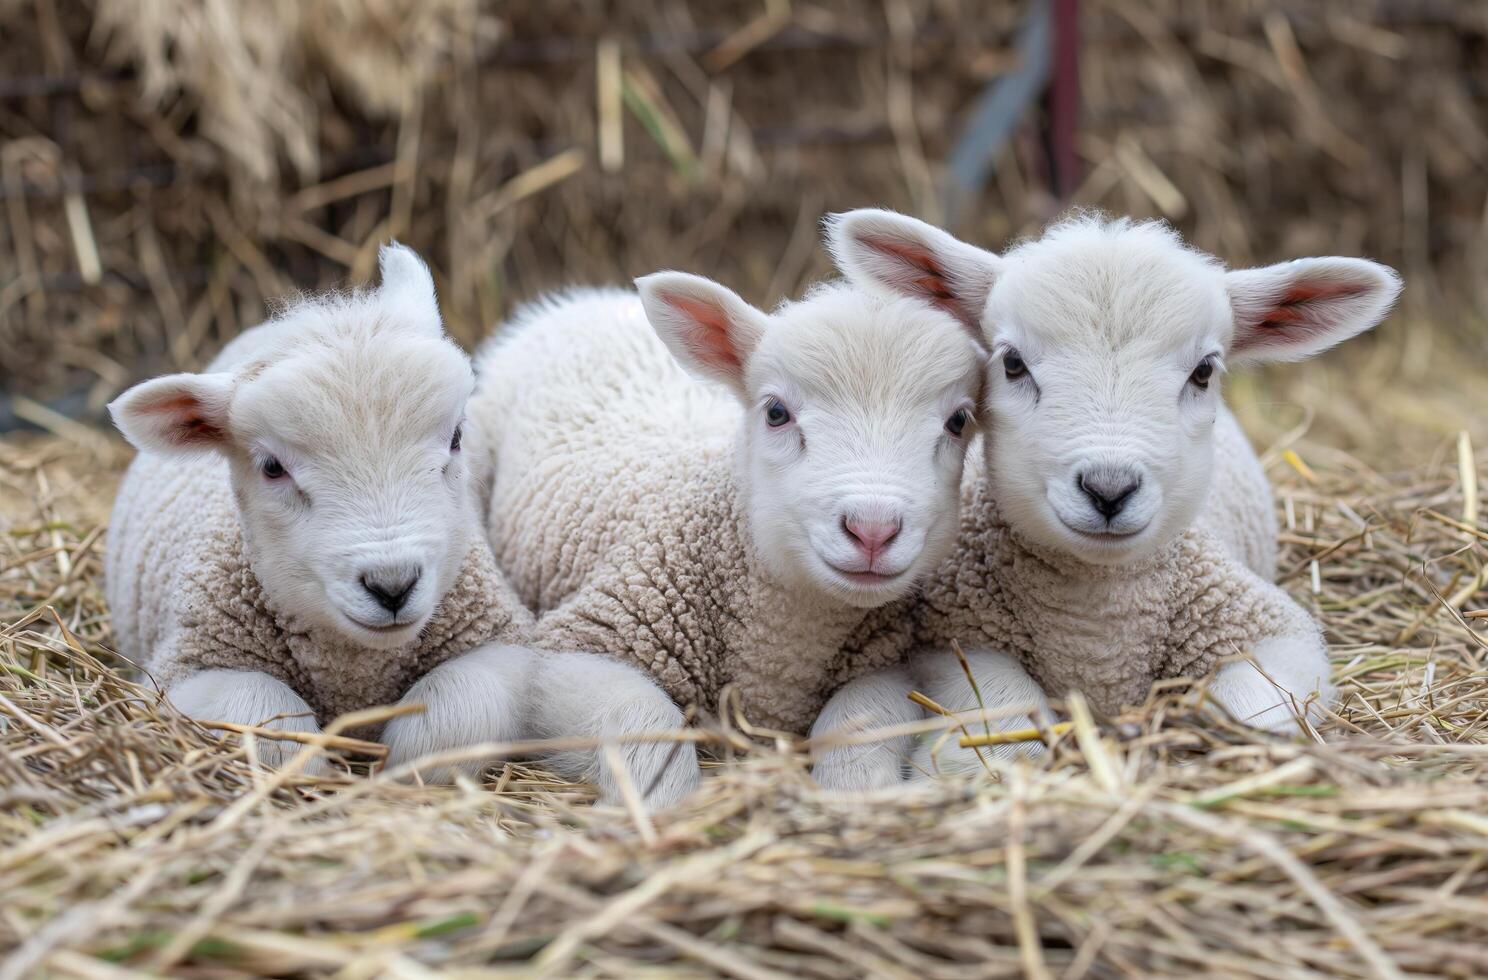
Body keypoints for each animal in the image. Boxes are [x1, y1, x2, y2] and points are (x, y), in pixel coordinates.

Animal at [107, 249, 699, 808]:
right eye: (272, 467)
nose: (392, 585)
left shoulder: (505, 646)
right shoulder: (184, 672)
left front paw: (399, 771)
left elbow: (458, 712)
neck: (356, 670)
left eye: (456, 437)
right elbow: (263, 715)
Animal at [467, 276, 988, 737]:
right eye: (776, 412)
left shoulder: (882, 666)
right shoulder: (579, 643)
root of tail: (590, 300)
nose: (873, 530)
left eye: (959, 421)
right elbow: (646, 728)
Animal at [809, 211, 1398, 785]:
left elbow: (1257, 707)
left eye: (1204, 371)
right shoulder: (954, 630)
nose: (1108, 489)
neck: (1095, 629)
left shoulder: (1270, 630)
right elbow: (1000, 711)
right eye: (1012, 364)